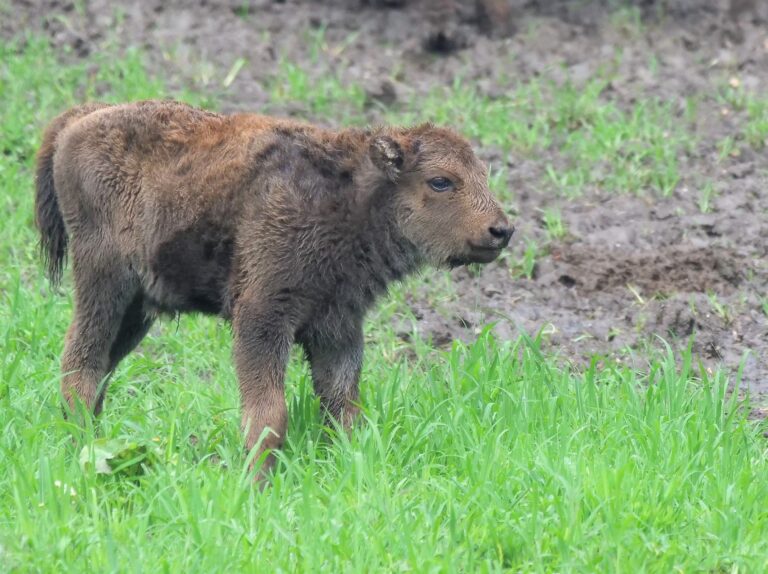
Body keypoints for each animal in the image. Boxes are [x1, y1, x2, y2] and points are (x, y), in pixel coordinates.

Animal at [37, 101, 516, 480]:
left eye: (483, 175)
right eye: (441, 181)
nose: (502, 230)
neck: (349, 198)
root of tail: (81, 118)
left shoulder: (338, 328)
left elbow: (343, 405)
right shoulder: (262, 318)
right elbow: (270, 413)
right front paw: (258, 481)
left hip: (137, 309)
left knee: (100, 366)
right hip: (104, 281)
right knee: (81, 363)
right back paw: (81, 445)